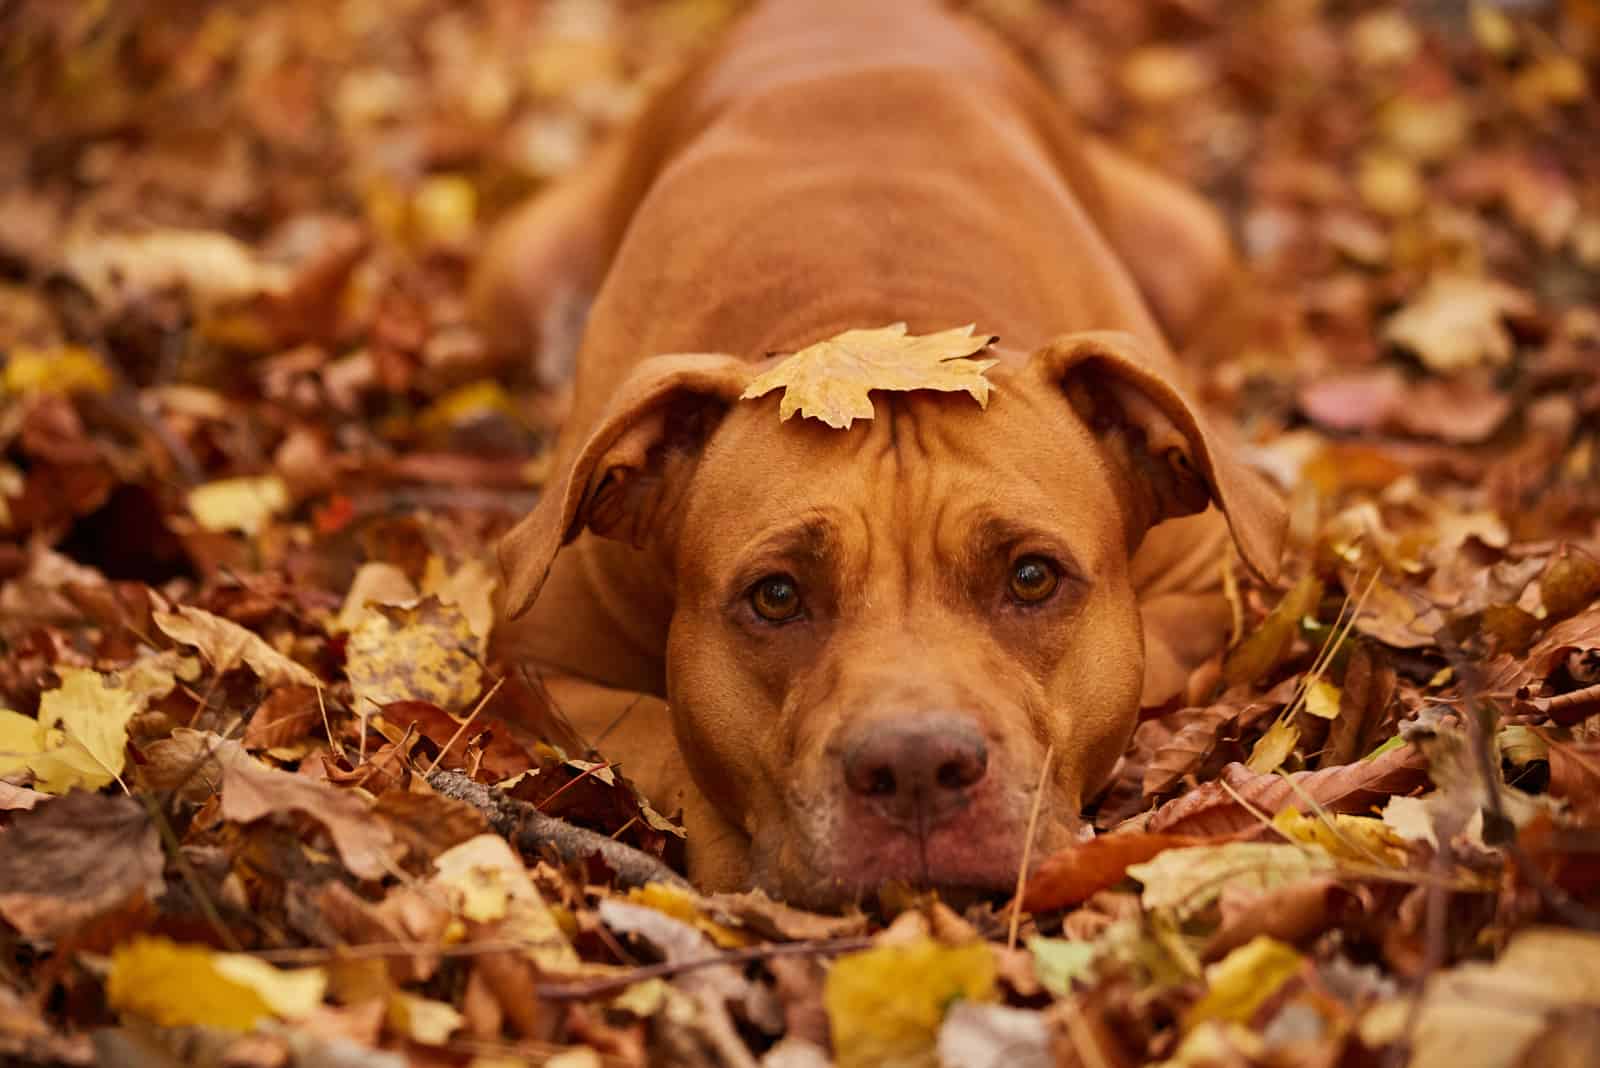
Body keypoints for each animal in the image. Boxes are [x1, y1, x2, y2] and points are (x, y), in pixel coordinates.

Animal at [476, 0, 1286, 908]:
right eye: (776, 596)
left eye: (1032, 578)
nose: (917, 768)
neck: (880, 327)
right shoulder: (531, 658)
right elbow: (653, 727)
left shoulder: (1210, 583)